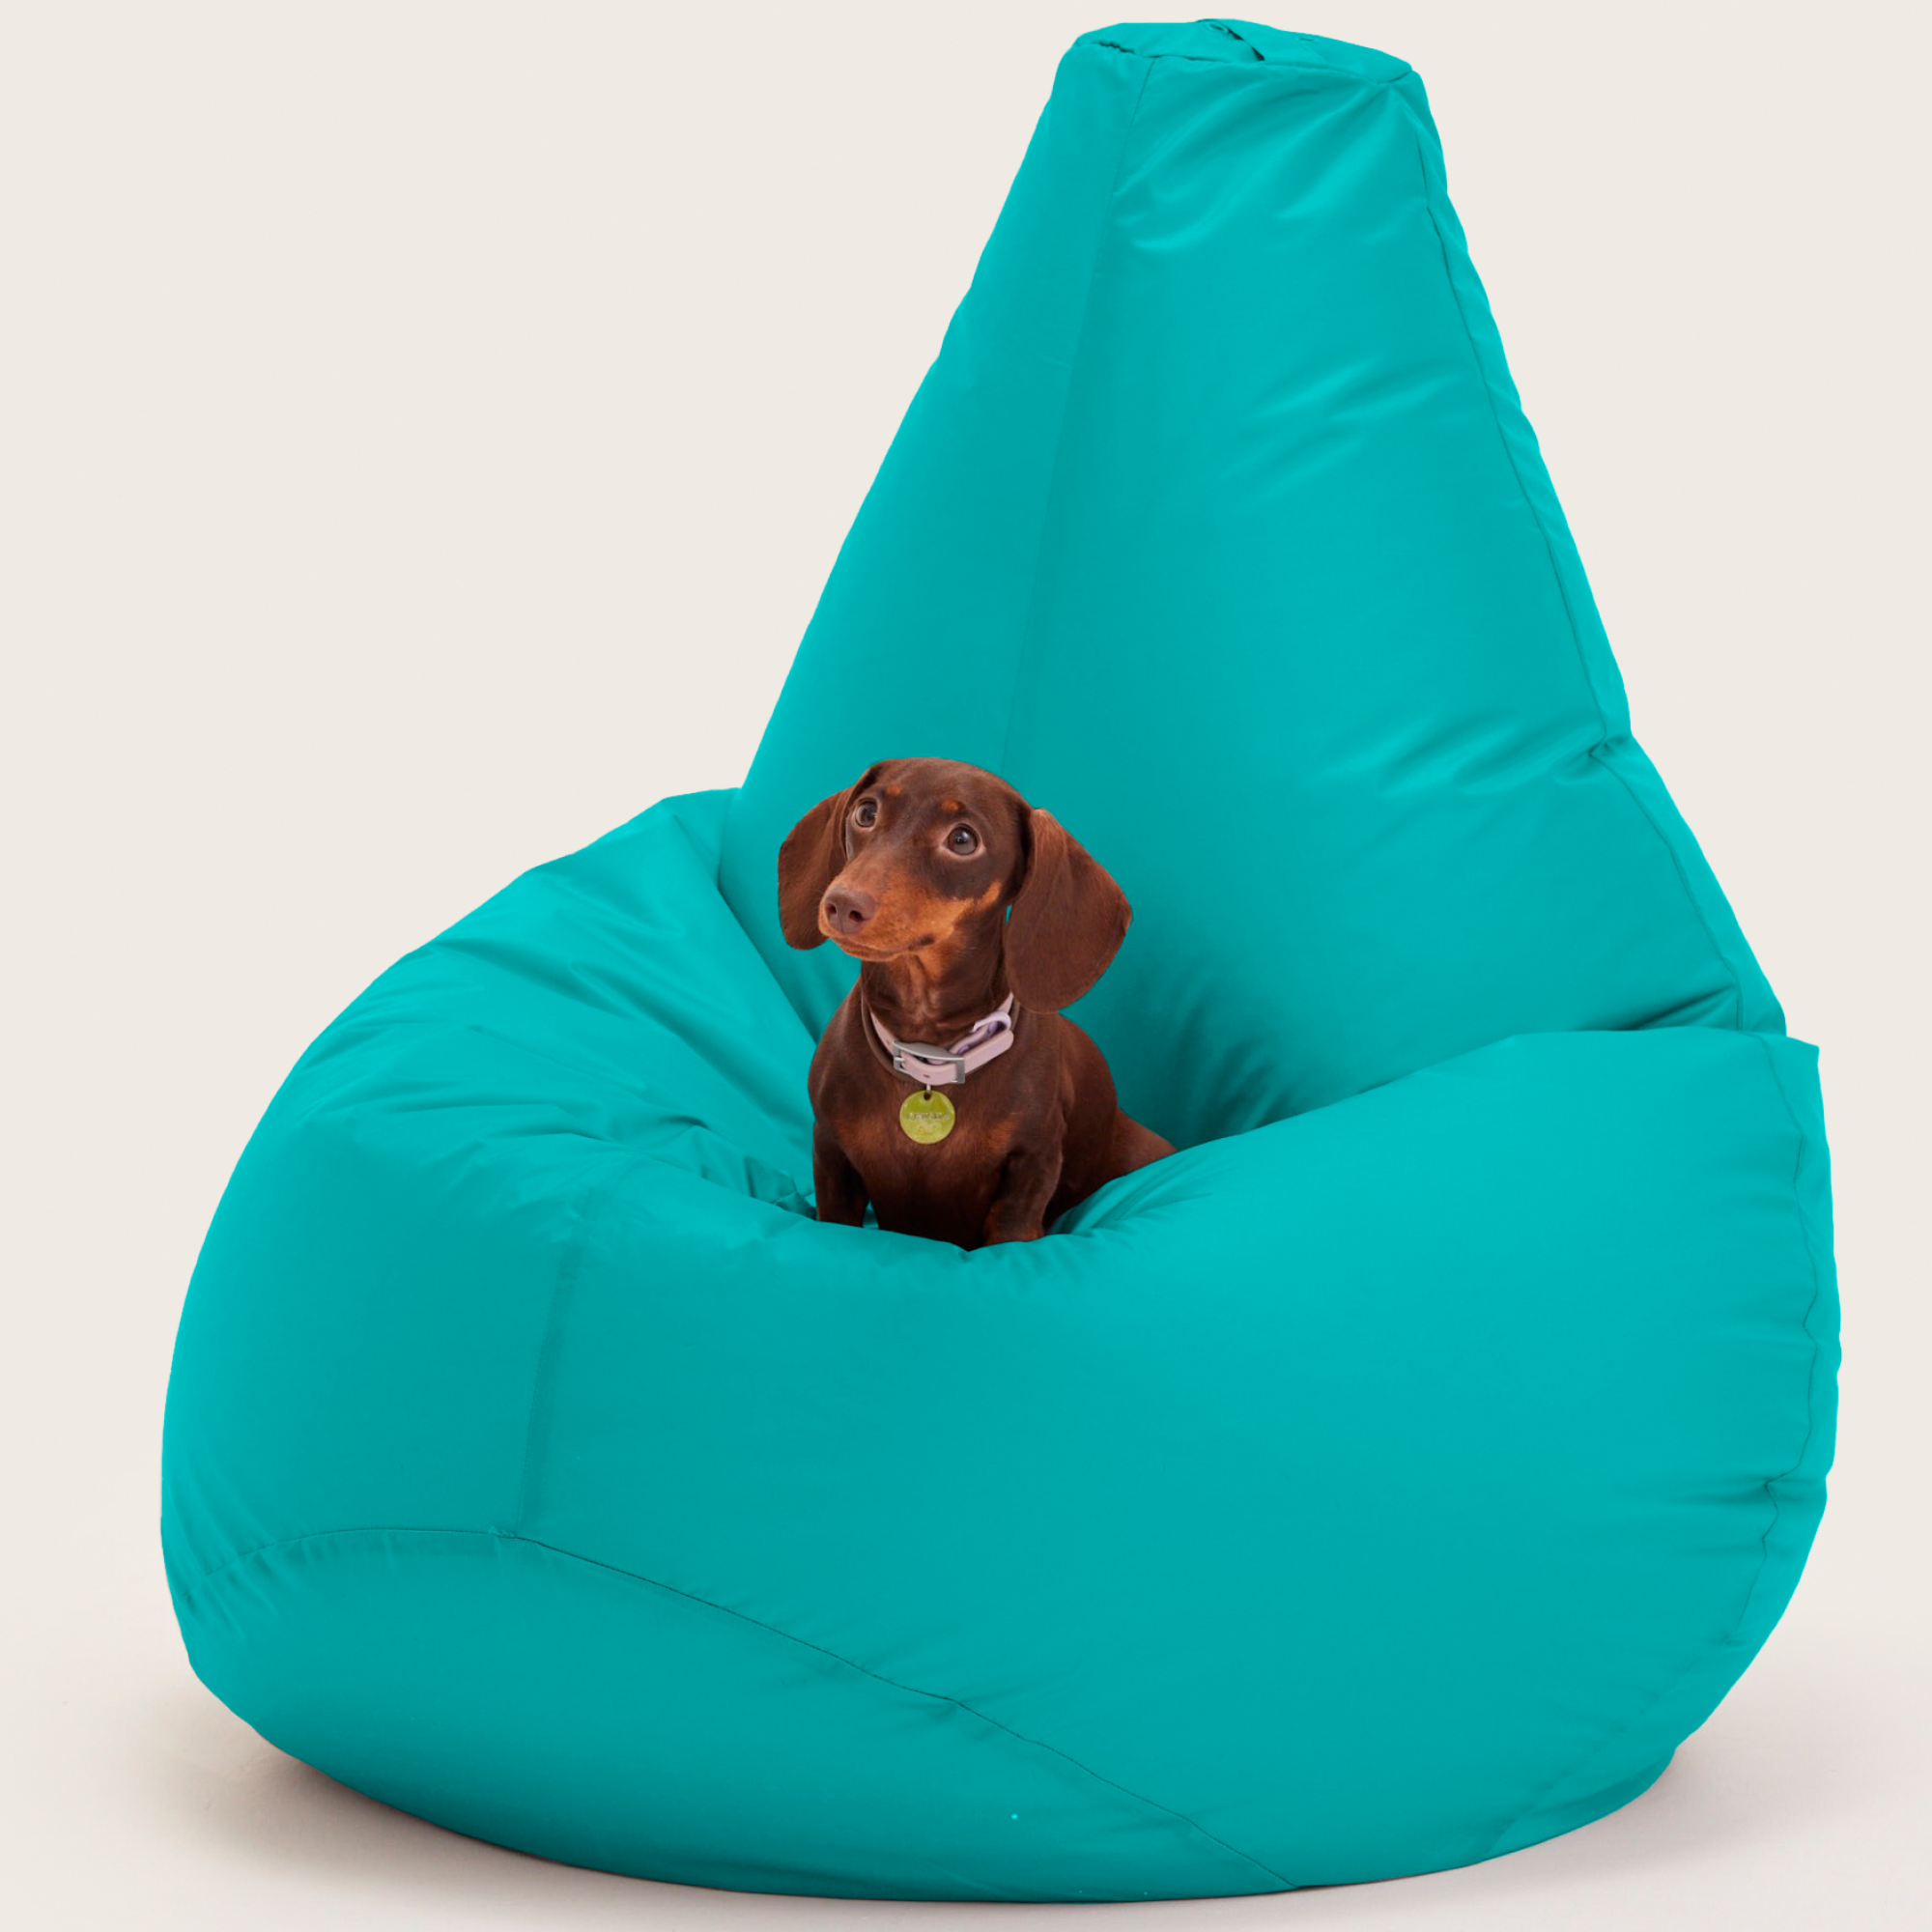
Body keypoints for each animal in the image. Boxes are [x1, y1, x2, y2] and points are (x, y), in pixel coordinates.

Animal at [778, 757, 1173, 1248]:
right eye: (866, 813)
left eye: (962, 840)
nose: (841, 905)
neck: (928, 1054)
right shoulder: (831, 1157)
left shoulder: (1032, 1167)